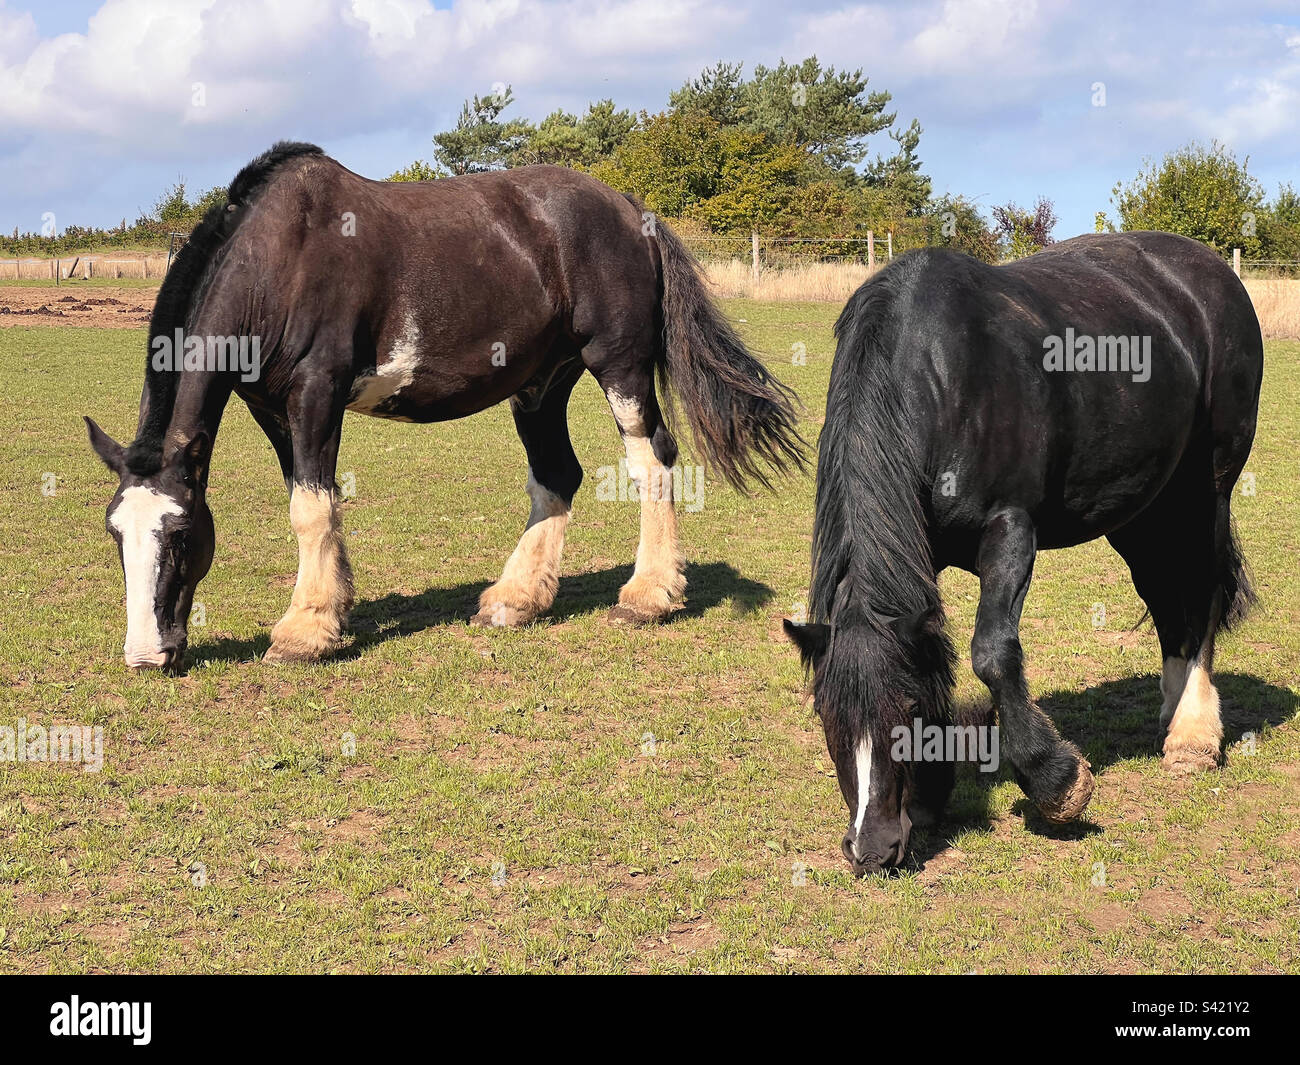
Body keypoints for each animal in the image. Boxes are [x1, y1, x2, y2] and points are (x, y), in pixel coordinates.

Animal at [85, 142, 803, 671]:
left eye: (181, 533)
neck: (283, 257)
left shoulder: (318, 391)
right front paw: (333, 610)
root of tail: (630, 209)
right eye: (116, 533)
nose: (147, 655)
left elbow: (310, 510)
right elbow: (313, 500)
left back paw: (649, 595)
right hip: (541, 385)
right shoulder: (272, 409)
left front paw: (304, 631)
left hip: (619, 365)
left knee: (652, 461)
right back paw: (515, 600)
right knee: (557, 476)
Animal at [784, 232, 1262, 875]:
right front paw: (930, 798)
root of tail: (1212, 270)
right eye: (825, 714)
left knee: (1203, 591)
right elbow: (934, 650)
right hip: (1140, 507)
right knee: (1165, 597)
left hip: (1207, 488)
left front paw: (1055, 782)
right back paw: (1172, 709)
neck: (937, 378)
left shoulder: (1010, 530)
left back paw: (1193, 736)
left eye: (903, 711)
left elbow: (991, 654)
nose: (871, 849)